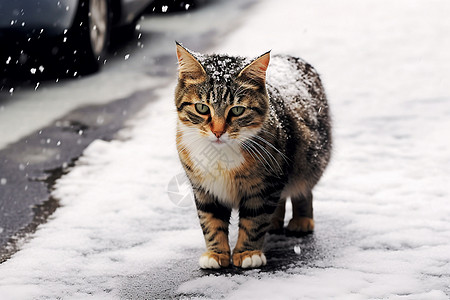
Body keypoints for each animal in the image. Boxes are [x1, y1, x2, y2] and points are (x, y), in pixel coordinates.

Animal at [174, 42, 332, 270]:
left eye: (237, 110)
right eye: (202, 107)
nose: (218, 132)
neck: (220, 154)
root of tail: (293, 58)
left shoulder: (266, 184)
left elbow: (254, 221)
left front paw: (248, 253)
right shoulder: (203, 187)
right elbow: (211, 221)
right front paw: (216, 254)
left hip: (307, 159)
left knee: (303, 189)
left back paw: (301, 221)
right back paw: (275, 222)